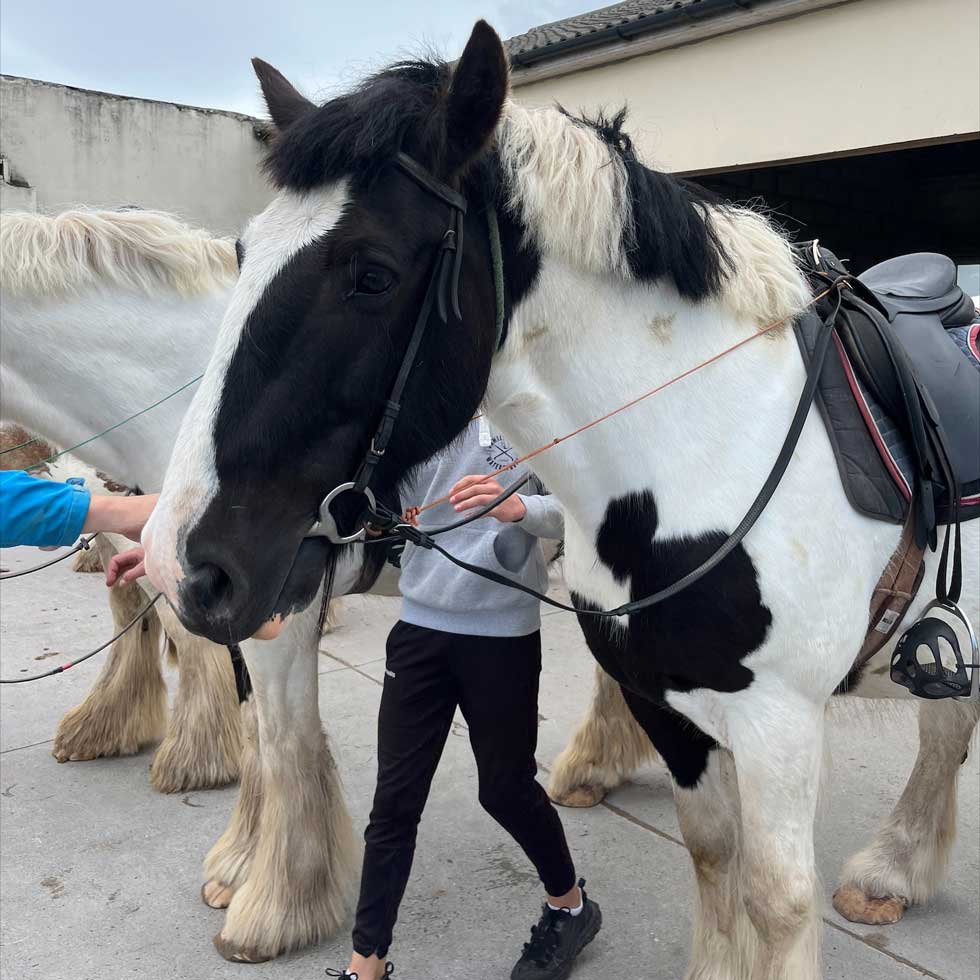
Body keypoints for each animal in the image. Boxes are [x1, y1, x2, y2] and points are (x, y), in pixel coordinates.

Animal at [141, 26, 979, 974]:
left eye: (372, 274)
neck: (711, 444)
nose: (181, 562)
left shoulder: (780, 723)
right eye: (242, 254)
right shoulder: (667, 702)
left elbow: (778, 901)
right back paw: (895, 872)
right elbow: (712, 850)